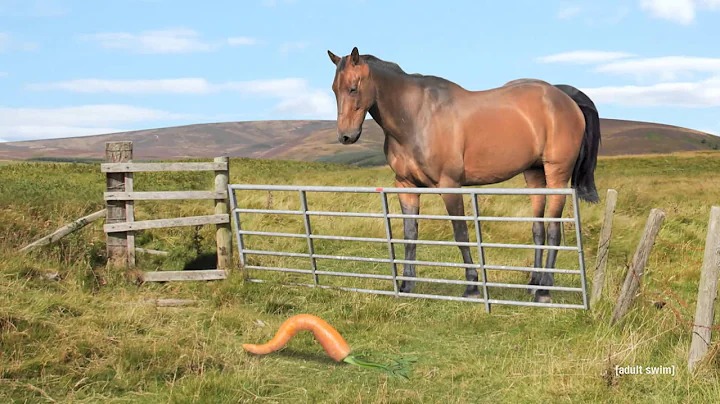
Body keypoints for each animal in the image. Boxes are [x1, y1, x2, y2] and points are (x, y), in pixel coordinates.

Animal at [326, 47, 601, 304]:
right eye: (334, 89)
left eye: (353, 88)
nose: (346, 136)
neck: (416, 116)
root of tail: (562, 96)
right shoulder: (405, 186)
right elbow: (410, 235)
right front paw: (406, 285)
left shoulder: (449, 185)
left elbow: (461, 234)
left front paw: (471, 287)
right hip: (534, 175)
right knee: (538, 229)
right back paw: (533, 284)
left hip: (557, 176)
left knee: (554, 229)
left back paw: (544, 290)